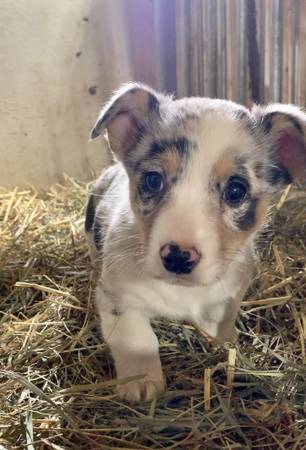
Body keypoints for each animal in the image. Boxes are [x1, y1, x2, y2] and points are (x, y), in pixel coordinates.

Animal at [85, 82, 306, 402]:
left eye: (236, 191)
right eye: (153, 180)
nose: (177, 257)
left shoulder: (230, 291)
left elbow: (220, 319)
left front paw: (225, 344)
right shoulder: (116, 295)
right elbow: (137, 339)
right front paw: (141, 381)